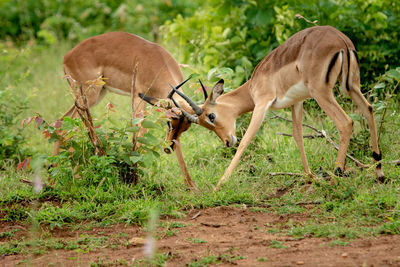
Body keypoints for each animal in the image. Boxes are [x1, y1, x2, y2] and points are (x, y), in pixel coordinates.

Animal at [54, 31, 202, 189]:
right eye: (169, 123)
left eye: (185, 129)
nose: (168, 149)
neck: (157, 62)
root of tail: (67, 56)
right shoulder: (138, 97)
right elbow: (138, 134)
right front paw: (136, 180)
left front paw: (191, 186)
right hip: (88, 96)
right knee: (69, 129)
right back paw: (73, 179)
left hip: (97, 94)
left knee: (60, 123)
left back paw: (53, 179)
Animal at [168, 26, 384, 192]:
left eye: (211, 116)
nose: (228, 142)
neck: (253, 85)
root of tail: (341, 40)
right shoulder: (297, 102)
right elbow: (297, 136)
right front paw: (310, 177)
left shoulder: (262, 104)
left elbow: (246, 140)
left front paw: (218, 186)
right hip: (351, 86)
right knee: (369, 109)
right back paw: (379, 172)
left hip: (322, 92)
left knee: (346, 122)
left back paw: (336, 176)